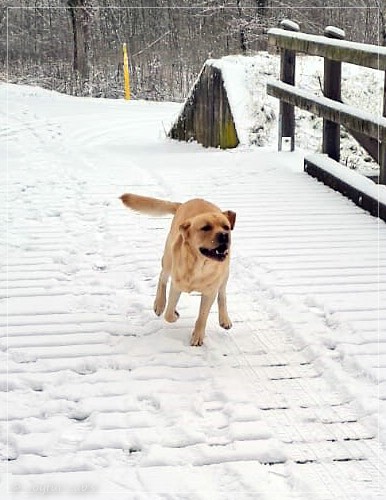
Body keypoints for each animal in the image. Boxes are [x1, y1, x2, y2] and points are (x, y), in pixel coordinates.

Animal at [120, 193, 235, 346]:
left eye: (226, 227)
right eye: (205, 228)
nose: (224, 235)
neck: (200, 267)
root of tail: (183, 204)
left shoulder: (209, 292)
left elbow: (202, 317)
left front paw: (198, 336)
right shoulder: (176, 286)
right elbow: (168, 314)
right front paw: (174, 314)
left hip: (225, 274)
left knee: (222, 294)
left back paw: (224, 319)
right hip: (168, 259)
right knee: (162, 277)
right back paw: (159, 304)